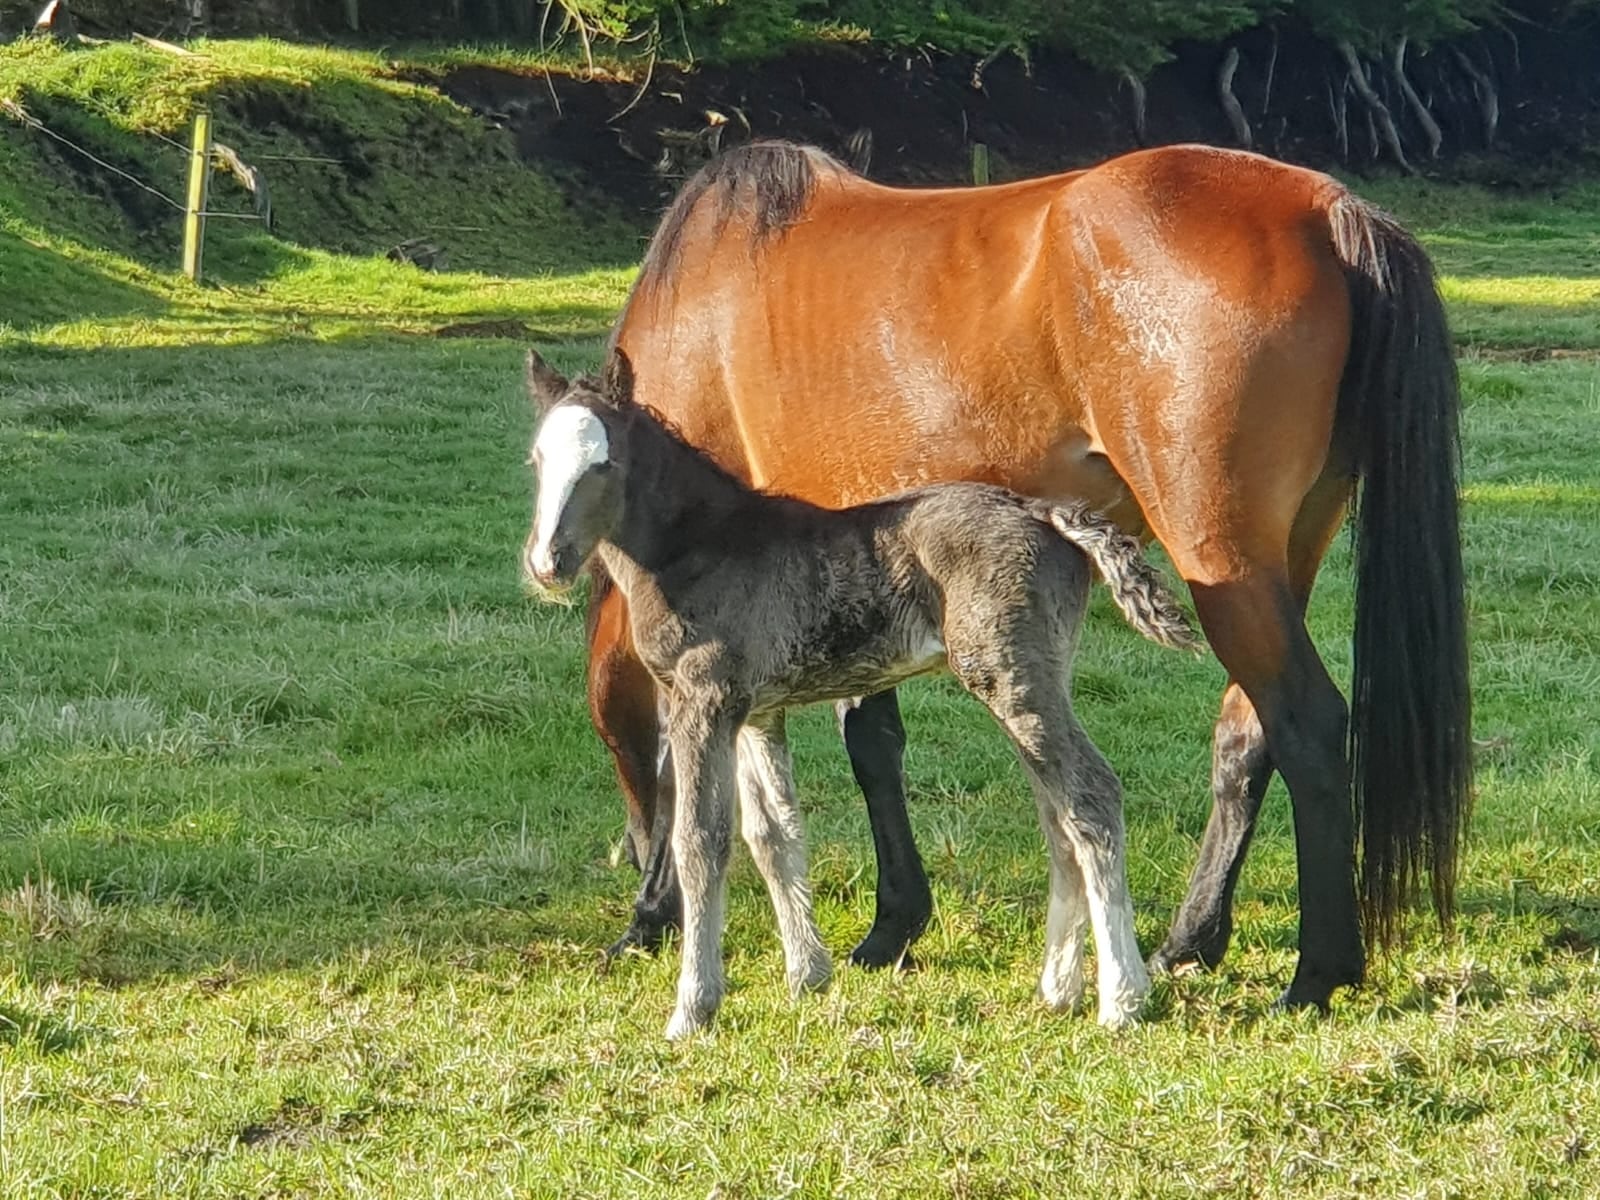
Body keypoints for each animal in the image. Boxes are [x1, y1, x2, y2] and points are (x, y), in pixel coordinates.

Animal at [523, 350, 1199, 1037]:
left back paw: (1122, 998)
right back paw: (1059, 989)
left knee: (1091, 798)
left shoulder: (703, 702)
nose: (548, 563)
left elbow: (700, 843)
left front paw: (694, 1006)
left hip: (1011, 678)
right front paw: (807, 977)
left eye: (604, 463)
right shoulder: (757, 711)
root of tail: (1044, 512)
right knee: (1058, 817)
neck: (702, 548)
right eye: (538, 460)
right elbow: (774, 836)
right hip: (1034, 679)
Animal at [582, 139, 1471, 1012]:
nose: (636, 883)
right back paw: (1190, 940)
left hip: (1224, 560)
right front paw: (894, 924)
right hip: (1286, 555)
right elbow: (872, 740)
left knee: (1306, 724)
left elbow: (832, 752)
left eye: (616, 739)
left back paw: (1318, 972)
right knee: (1248, 735)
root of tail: (1325, 211)